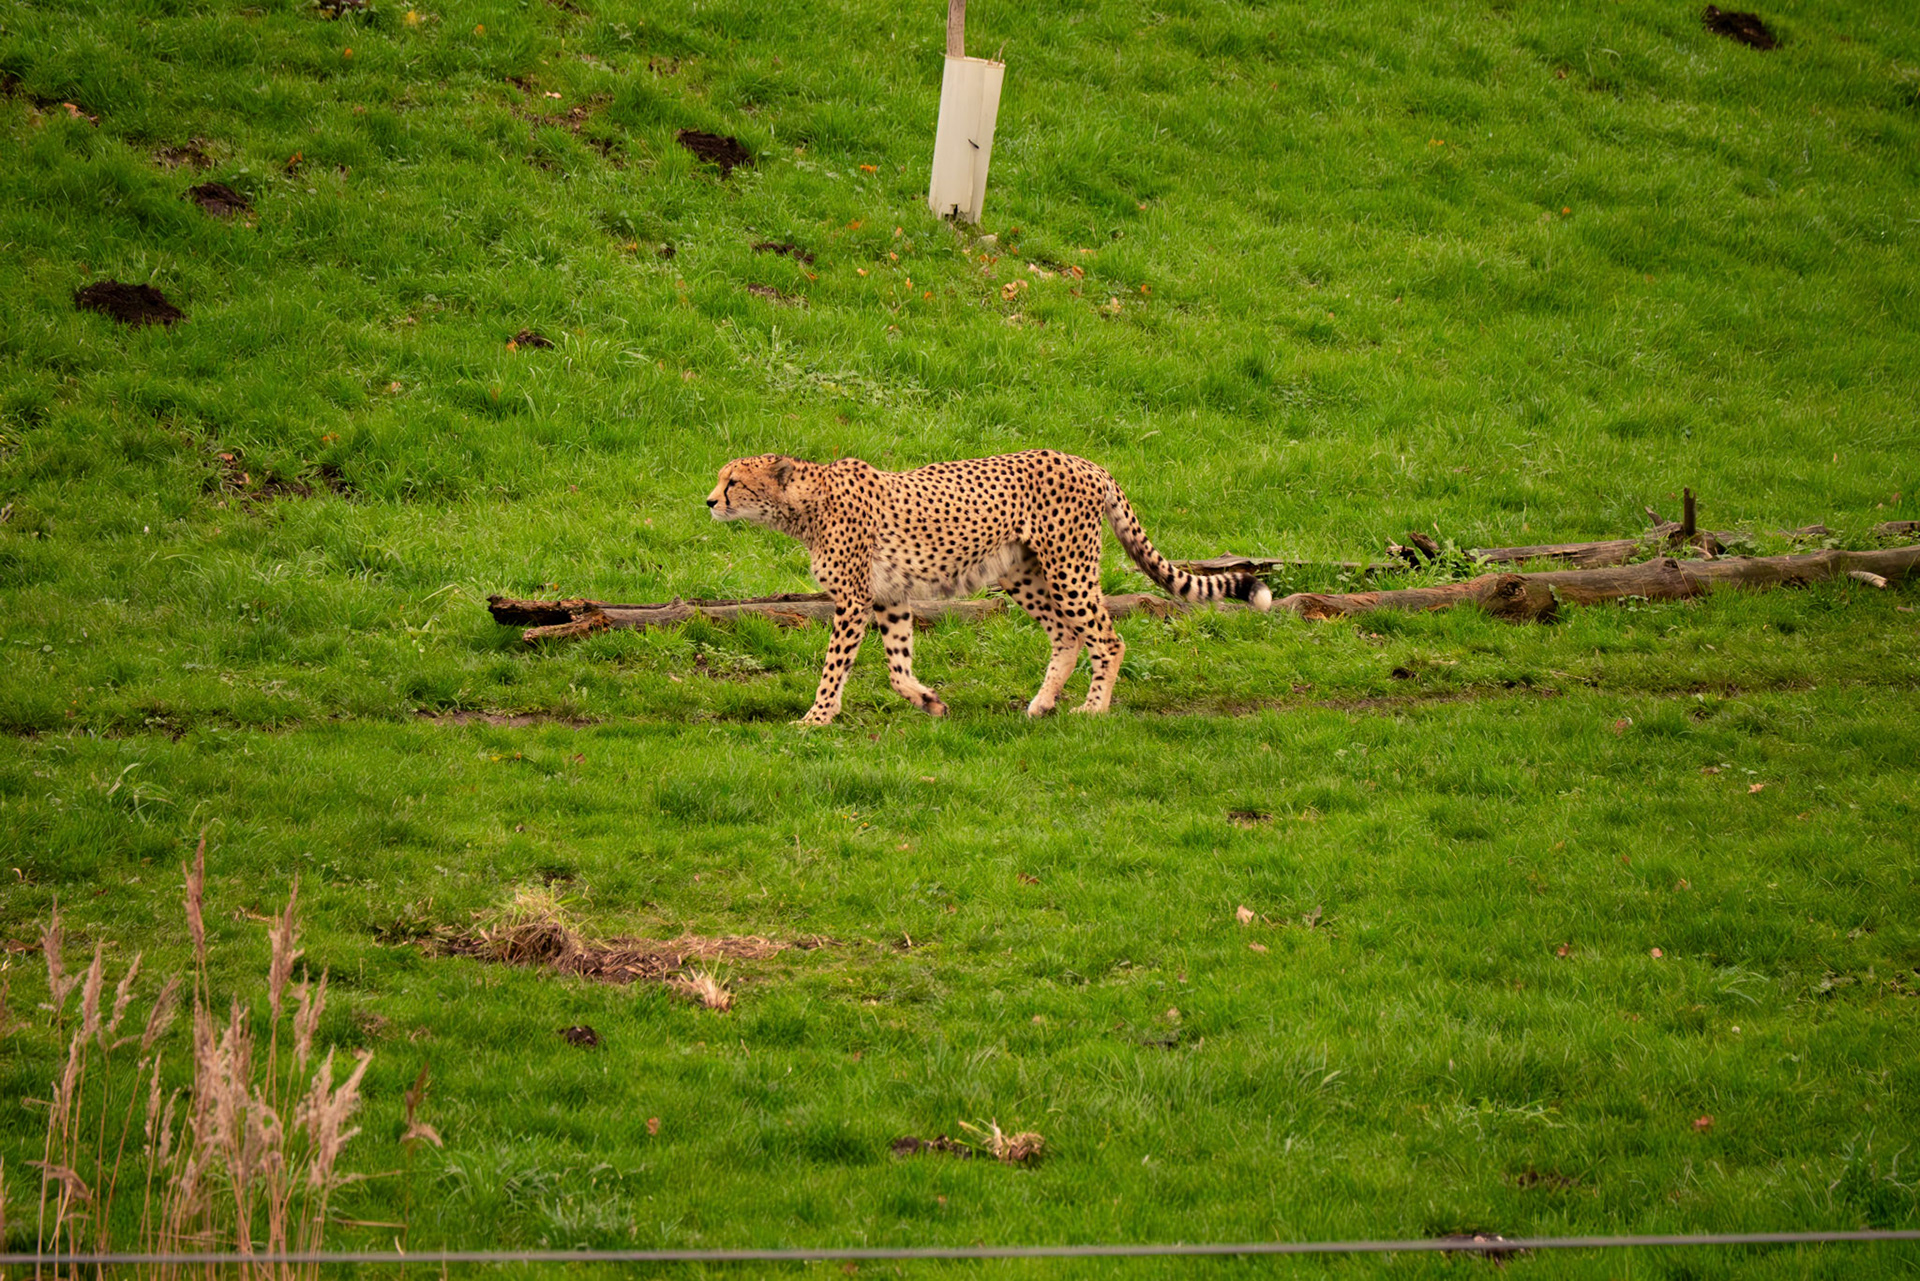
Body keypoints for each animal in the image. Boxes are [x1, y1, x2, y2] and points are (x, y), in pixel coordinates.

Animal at [706, 449, 1272, 725]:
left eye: (734, 482)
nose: (709, 501)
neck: (804, 505)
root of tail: (1087, 461)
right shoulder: (889, 598)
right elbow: (897, 667)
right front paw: (928, 702)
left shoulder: (854, 601)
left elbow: (833, 667)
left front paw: (816, 718)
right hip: (1020, 573)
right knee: (1066, 635)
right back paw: (1042, 705)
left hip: (1069, 567)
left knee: (1106, 638)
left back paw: (1093, 710)